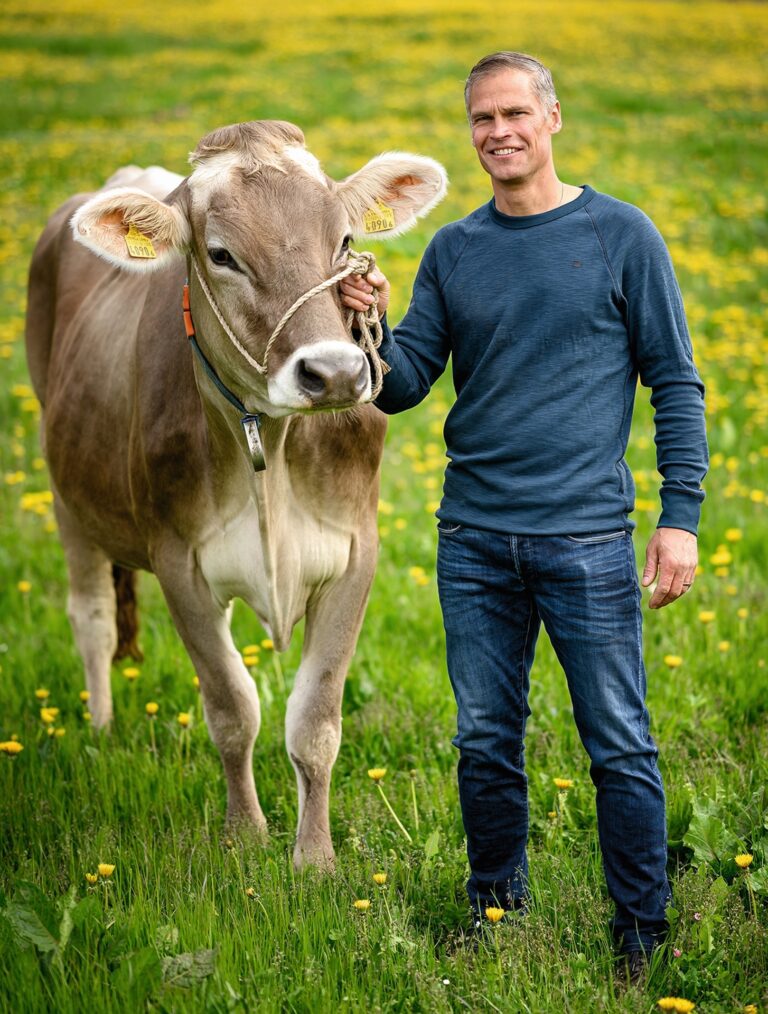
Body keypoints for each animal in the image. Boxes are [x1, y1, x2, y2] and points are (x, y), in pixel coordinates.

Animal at [27, 116, 446, 863]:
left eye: (344, 242)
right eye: (221, 255)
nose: (335, 374)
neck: (272, 450)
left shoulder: (355, 556)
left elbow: (315, 720)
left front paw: (315, 859)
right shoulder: (180, 564)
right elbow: (231, 708)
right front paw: (246, 837)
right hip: (65, 493)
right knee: (92, 617)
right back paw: (101, 731)